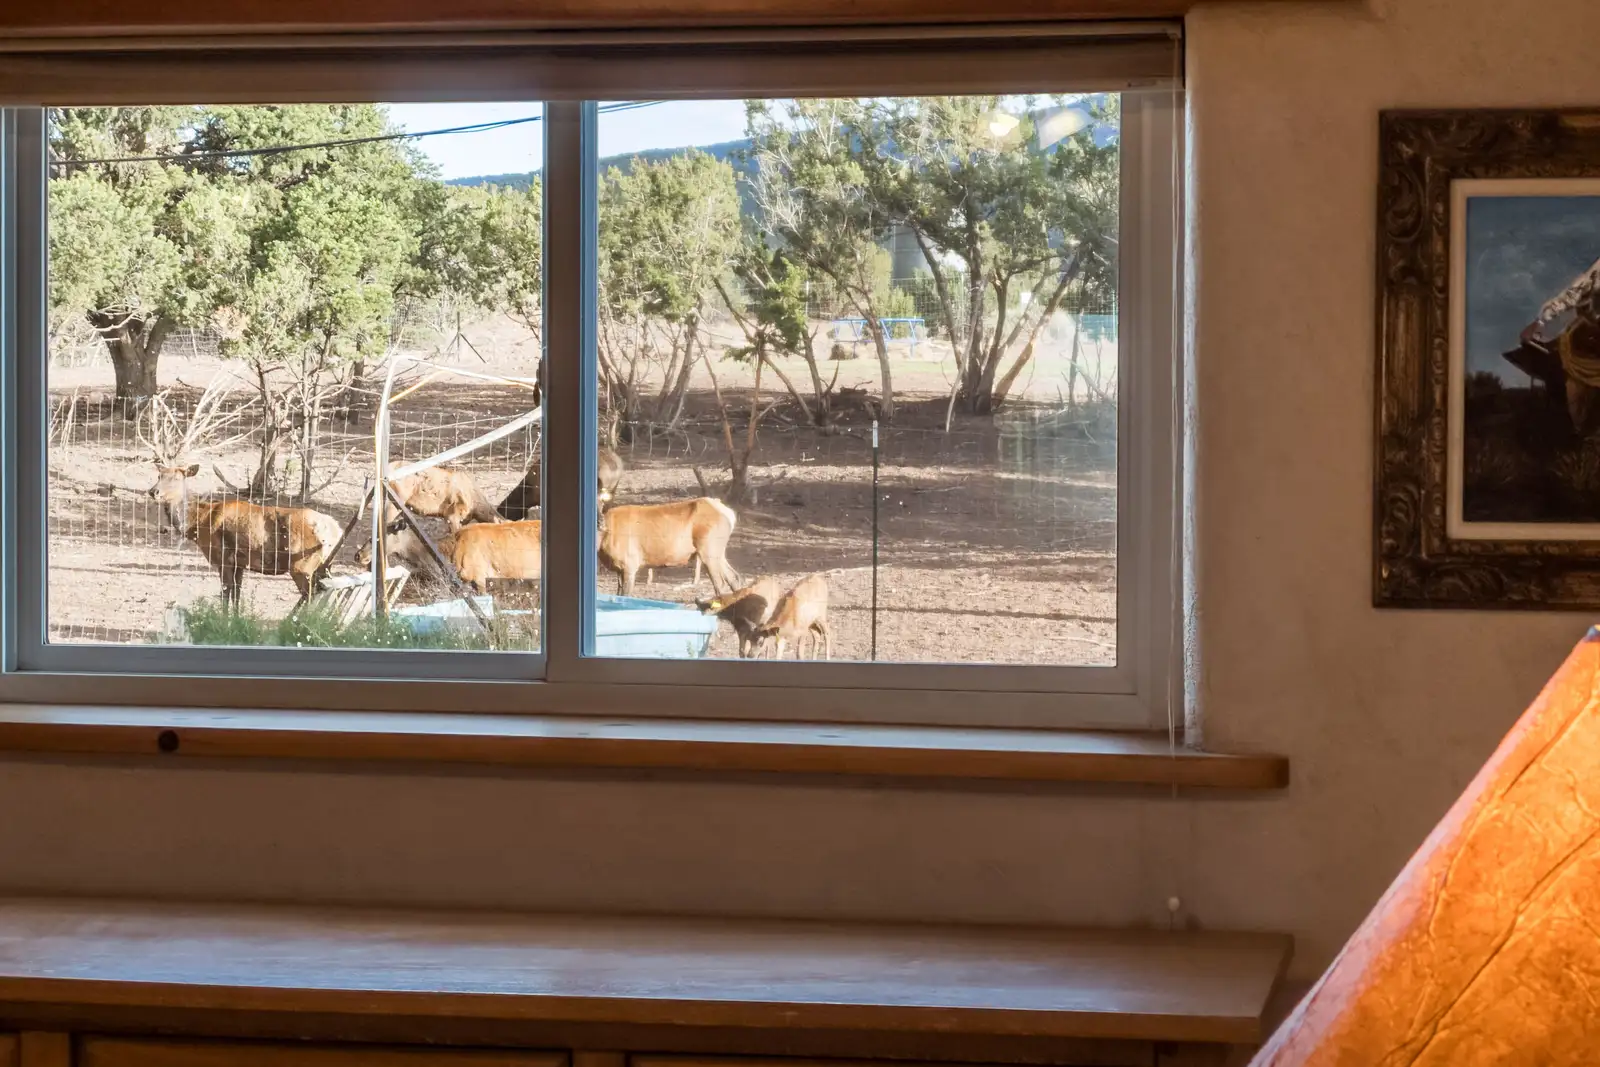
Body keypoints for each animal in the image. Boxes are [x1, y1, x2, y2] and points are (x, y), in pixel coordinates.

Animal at [139, 382, 345, 609]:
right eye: (159, 475)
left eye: (176, 478)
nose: (153, 491)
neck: (198, 524)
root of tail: (336, 529)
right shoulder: (239, 563)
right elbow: (237, 595)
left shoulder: (222, 556)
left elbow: (226, 593)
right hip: (325, 565)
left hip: (302, 564)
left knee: (310, 594)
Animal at [597, 496, 738, 597]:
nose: (600, 523)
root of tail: (730, 514)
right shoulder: (619, 568)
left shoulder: (630, 563)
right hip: (718, 552)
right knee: (734, 577)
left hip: (709, 549)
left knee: (720, 584)